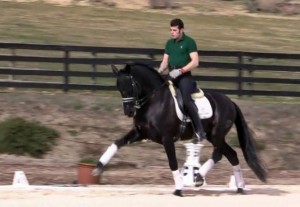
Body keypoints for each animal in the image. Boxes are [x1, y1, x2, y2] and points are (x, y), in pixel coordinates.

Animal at [94, 62, 268, 196]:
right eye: (118, 86)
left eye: (131, 85)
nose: (129, 111)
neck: (153, 100)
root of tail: (230, 101)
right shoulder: (140, 133)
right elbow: (117, 143)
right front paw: (98, 167)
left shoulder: (167, 138)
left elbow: (172, 162)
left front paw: (178, 189)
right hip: (214, 136)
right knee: (232, 155)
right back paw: (240, 187)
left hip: (216, 134)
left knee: (218, 154)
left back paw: (198, 177)